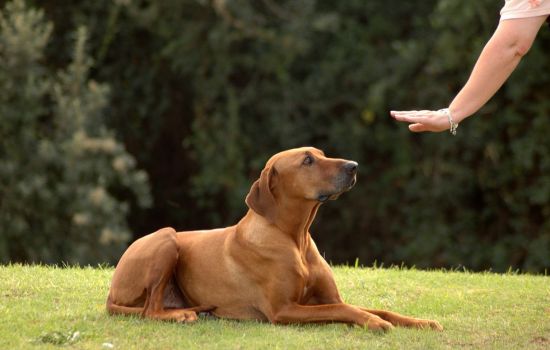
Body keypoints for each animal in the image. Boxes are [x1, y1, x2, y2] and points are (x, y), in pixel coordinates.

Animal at [106, 147, 444, 330]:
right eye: (307, 161)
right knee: (149, 311)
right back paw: (181, 316)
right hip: (167, 237)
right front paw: (374, 323)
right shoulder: (284, 310)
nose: (354, 166)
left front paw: (421, 322)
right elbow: (346, 310)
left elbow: (374, 308)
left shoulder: (329, 297)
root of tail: (111, 292)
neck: (295, 238)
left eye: (321, 154)